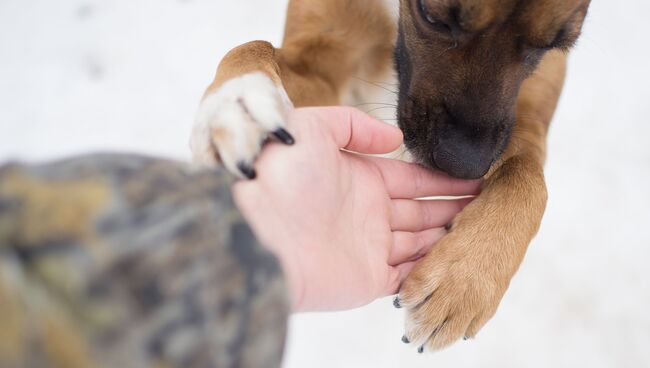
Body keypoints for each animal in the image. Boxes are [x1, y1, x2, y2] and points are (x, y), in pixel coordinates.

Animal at [190, 0, 588, 352]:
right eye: (432, 16)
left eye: (551, 44)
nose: (465, 165)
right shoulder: (320, 62)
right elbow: (253, 46)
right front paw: (237, 102)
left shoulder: (534, 106)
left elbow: (527, 173)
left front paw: (465, 280)